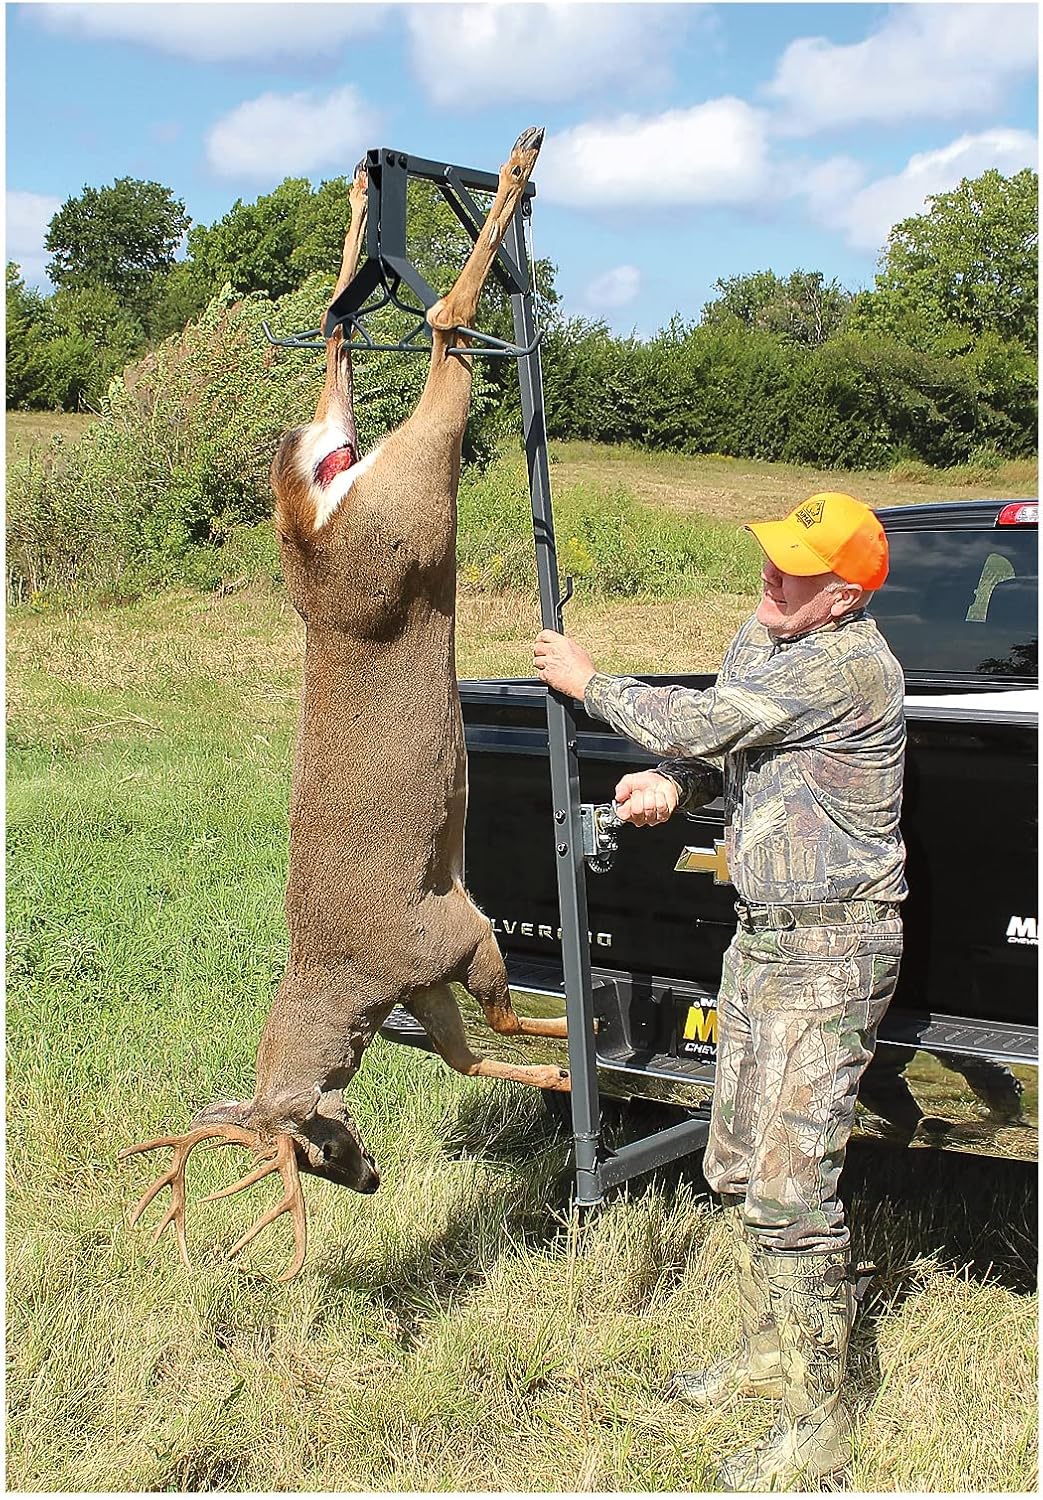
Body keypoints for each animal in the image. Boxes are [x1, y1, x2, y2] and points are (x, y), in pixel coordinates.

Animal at [121, 127, 570, 1282]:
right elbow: (471, 1055)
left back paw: (503, 170)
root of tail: (310, 526)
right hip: (388, 505)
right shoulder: (431, 971)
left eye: (312, 1142)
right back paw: (387, 186)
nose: (365, 1180)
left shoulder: (449, 931)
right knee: (338, 342)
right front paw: (563, 1073)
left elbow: (502, 1019)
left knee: (434, 331)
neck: (351, 986)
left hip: (408, 508)